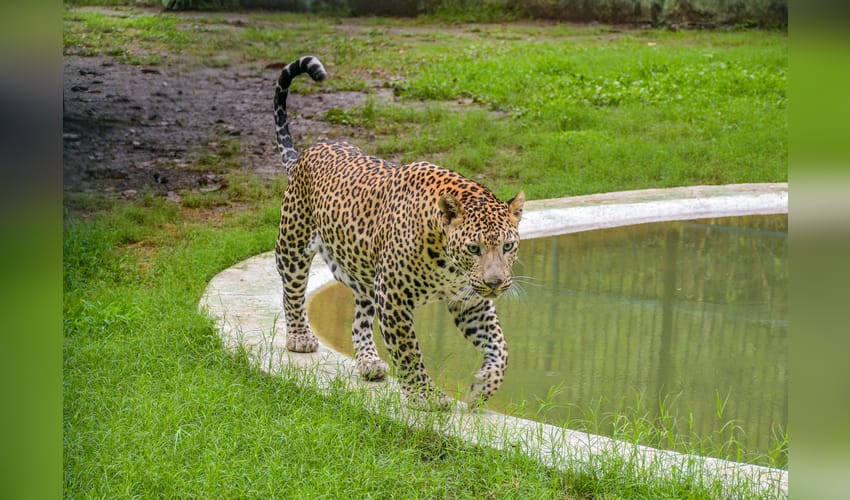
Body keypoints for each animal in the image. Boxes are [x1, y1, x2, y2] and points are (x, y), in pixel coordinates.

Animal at [273, 56, 525, 409]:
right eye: (473, 248)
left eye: (508, 247)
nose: (495, 282)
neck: (447, 261)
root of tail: (306, 154)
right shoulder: (393, 296)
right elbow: (409, 351)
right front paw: (425, 395)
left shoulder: (469, 301)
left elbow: (500, 346)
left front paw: (482, 387)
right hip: (293, 244)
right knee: (292, 291)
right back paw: (299, 337)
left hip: (363, 274)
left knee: (360, 321)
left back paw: (368, 361)